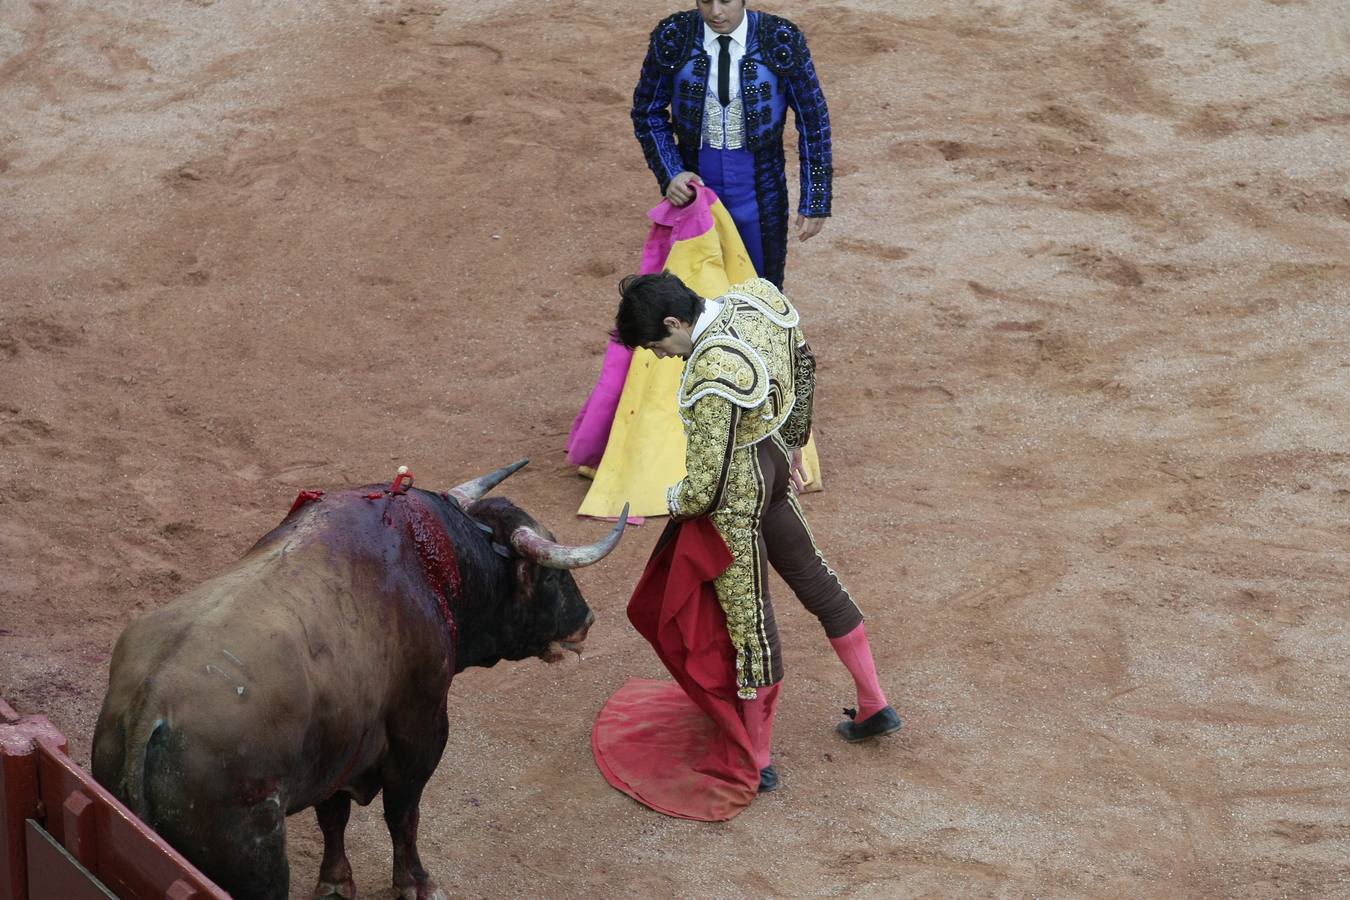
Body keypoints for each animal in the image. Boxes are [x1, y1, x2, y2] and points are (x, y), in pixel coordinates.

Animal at [89, 464, 626, 900]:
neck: (438, 560)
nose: (587, 620)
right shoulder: (421, 735)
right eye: (552, 578)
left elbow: (334, 818)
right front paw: (416, 884)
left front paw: (334, 882)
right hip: (255, 863)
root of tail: (150, 707)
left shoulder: (337, 751)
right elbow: (402, 816)